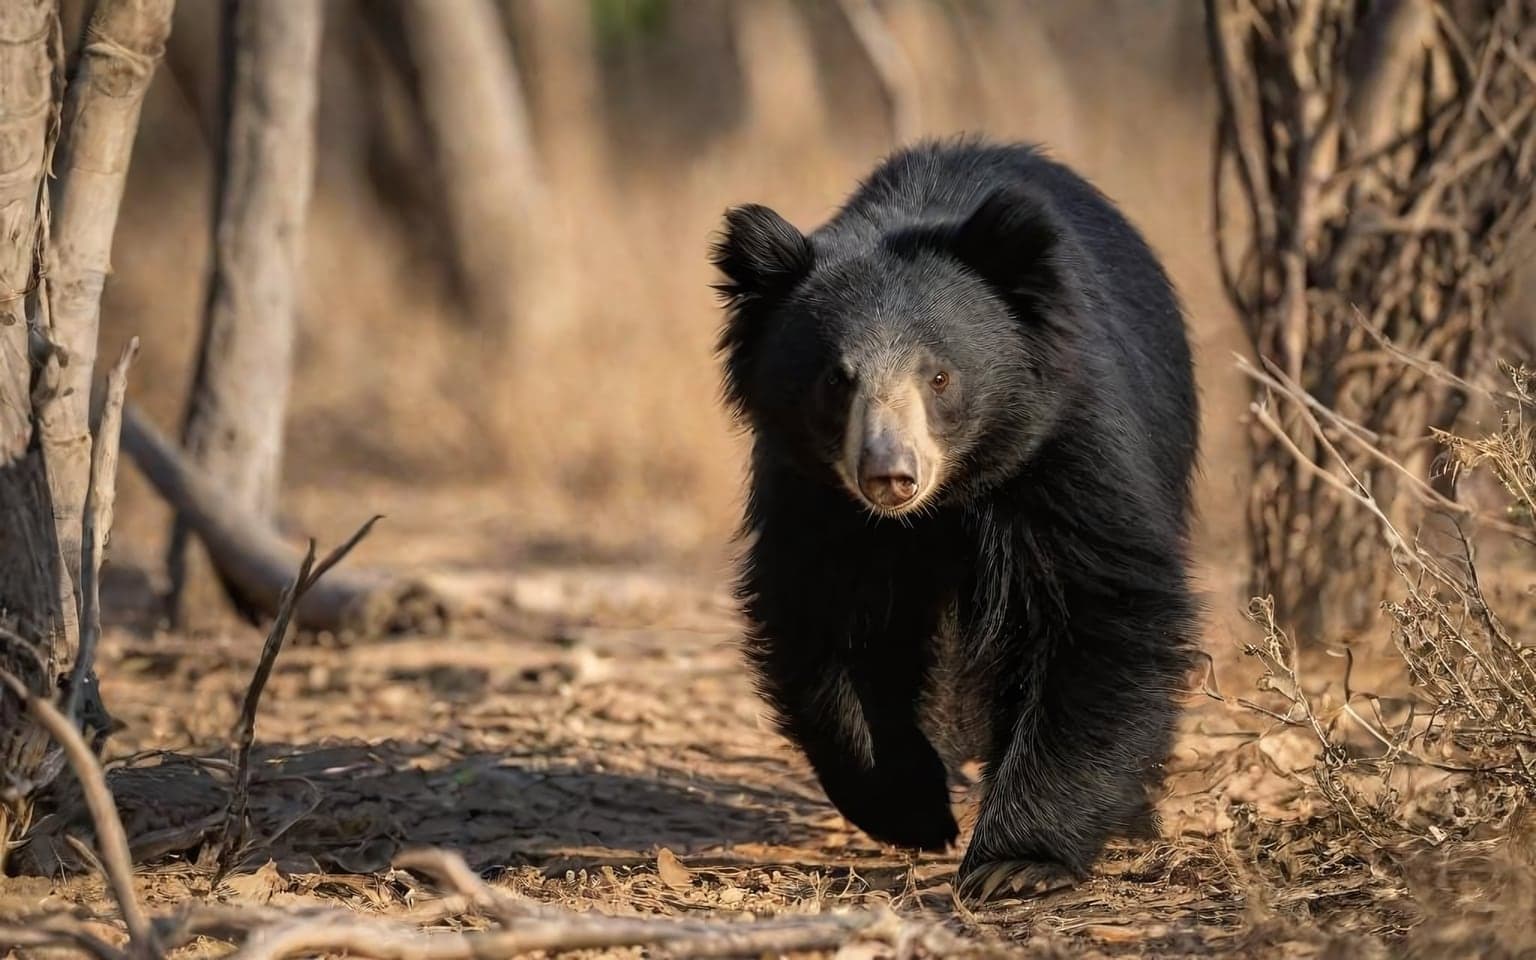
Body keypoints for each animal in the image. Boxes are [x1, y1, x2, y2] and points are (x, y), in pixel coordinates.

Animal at [708, 136, 1201, 902]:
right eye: (836, 381)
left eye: (939, 377)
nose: (889, 475)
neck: (942, 505)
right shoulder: (813, 494)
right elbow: (824, 617)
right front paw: (913, 809)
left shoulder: (1065, 446)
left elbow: (1100, 605)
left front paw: (1015, 864)